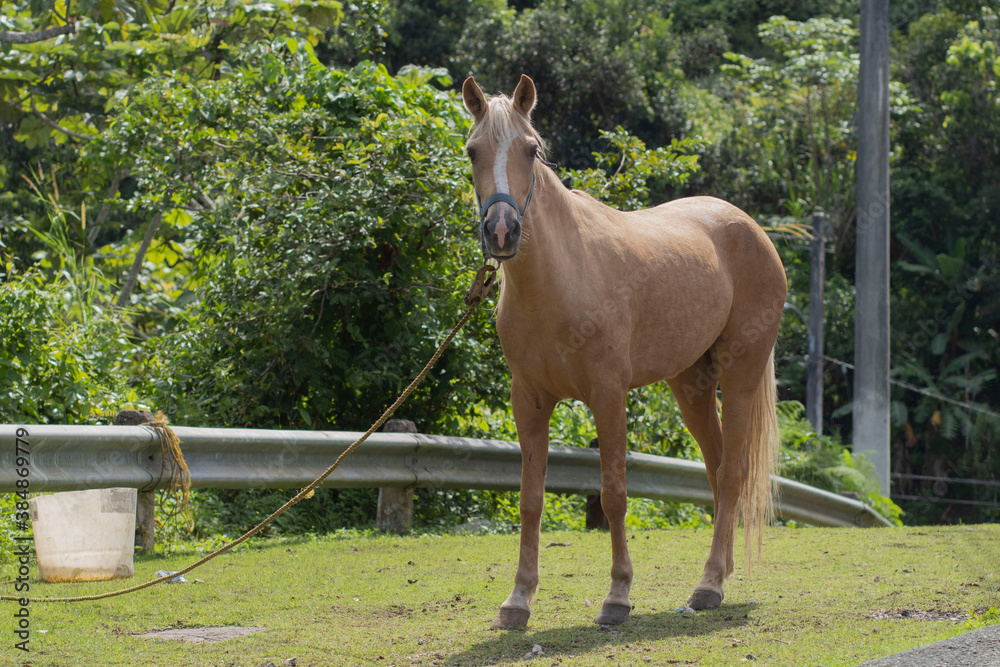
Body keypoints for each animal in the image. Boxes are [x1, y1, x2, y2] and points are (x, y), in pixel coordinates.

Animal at [461, 74, 787, 629]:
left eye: (531, 150)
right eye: (472, 151)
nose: (502, 231)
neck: (560, 279)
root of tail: (751, 229)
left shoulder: (608, 397)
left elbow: (613, 495)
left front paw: (617, 596)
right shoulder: (529, 402)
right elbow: (530, 500)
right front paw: (518, 600)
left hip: (740, 374)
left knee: (732, 473)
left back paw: (708, 587)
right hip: (691, 387)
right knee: (718, 470)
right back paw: (719, 573)